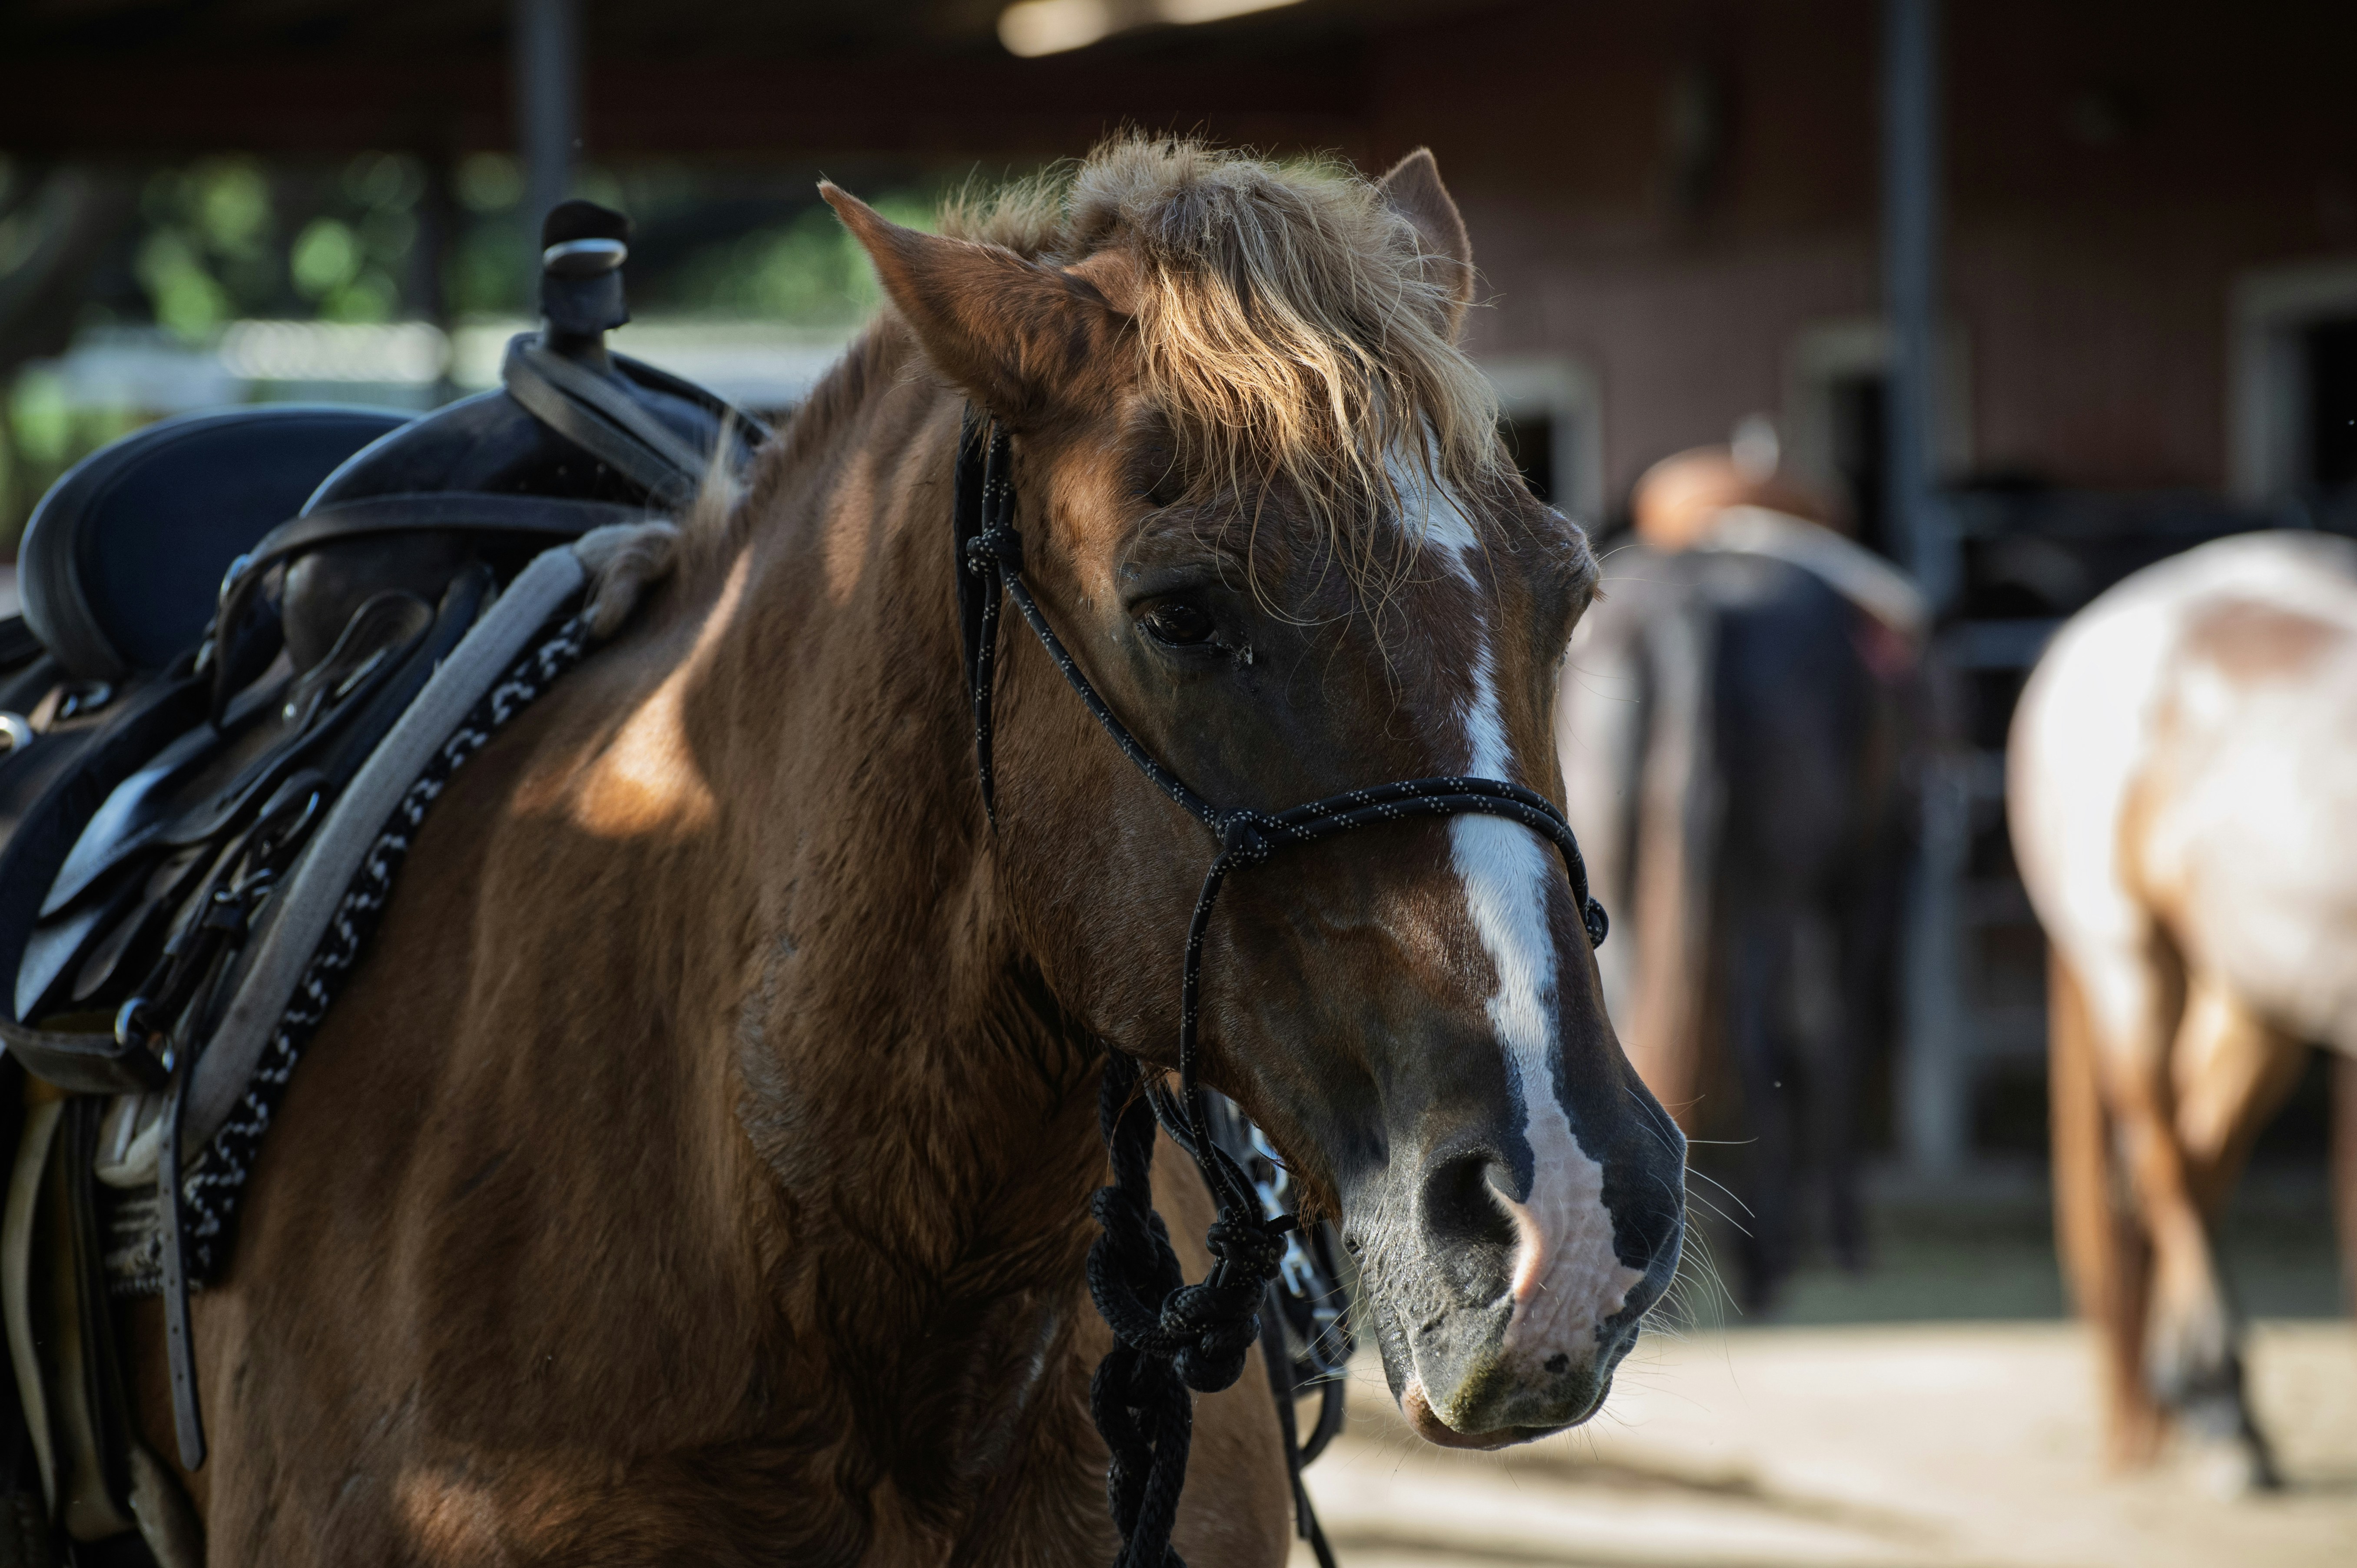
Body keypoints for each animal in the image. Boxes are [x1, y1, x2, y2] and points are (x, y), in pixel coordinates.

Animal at [1558, 448, 1918, 1309]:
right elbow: (1832, 1034)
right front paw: (1841, 1229)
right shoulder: (1868, 882)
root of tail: (1697, 605)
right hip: (1774, 894)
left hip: (1630, 891)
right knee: (1774, 1036)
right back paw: (1769, 1254)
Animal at [2009, 530, 2357, 1490]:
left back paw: (2206, 1398)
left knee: (2199, 1156)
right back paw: (2224, 1407)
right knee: (2165, 1161)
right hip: (2133, 964)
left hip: (2258, 991)